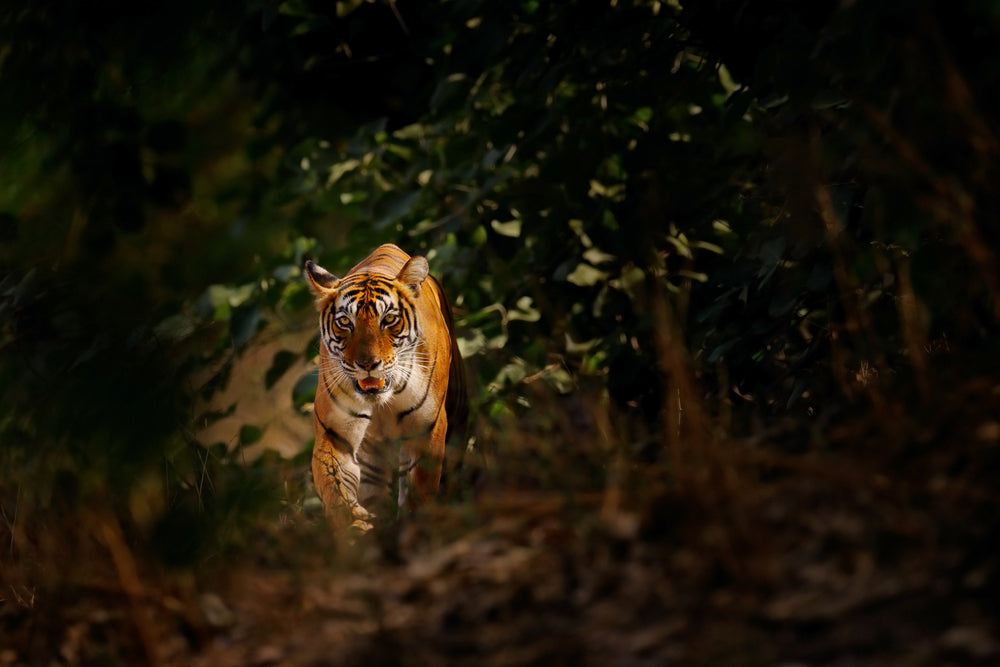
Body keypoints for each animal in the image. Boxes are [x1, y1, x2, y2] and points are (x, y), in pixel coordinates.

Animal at [304, 243, 467, 531]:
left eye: (389, 319)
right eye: (345, 322)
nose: (368, 364)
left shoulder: (427, 427)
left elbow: (419, 488)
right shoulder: (334, 431)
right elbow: (333, 482)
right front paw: (353, 521)